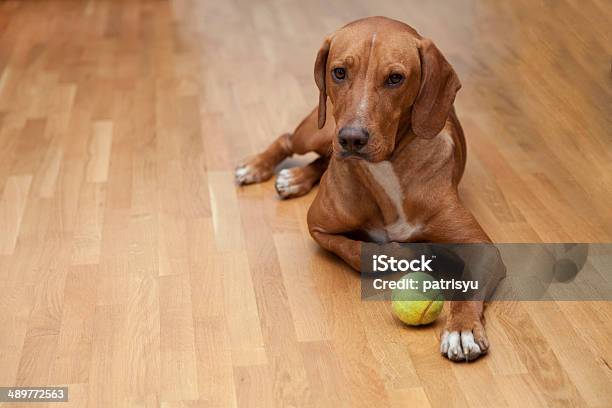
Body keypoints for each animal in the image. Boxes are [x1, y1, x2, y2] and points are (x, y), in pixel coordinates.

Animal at [237, 15, 494, 362]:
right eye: (339, 72)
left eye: (395, 78)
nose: (352, 138)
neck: (386, 170)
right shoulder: (317, 226)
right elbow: (358, 251)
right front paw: (404, 252)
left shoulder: (483, 248)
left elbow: (467, 285)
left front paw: (462, 329)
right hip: (319, 130)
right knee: (289, 139)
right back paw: (258, 166)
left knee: (321, 158)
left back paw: (297, 178)